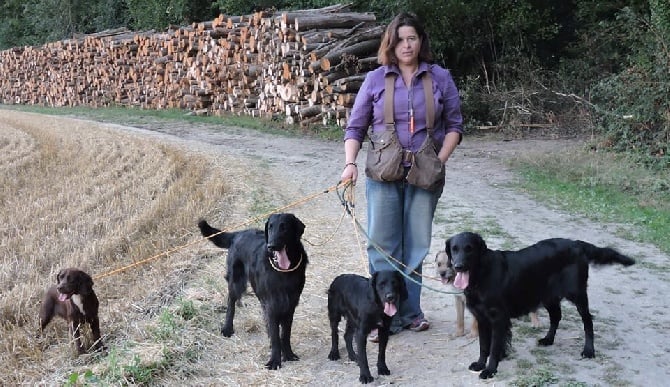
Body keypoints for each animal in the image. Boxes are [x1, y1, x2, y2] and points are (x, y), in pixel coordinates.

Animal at [196, 214, 308, 372]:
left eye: (284, 227)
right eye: (270, 227)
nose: (271, 246)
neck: (283, 271)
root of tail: (238, 233)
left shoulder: (290, 304)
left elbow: (285, 334)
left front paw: (288, 354)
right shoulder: (271, 305)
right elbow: (275, 335)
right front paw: (275, 360)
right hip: (236, 282)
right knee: (231, 303)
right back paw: (227, 328)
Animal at [446, 232, 636, 380]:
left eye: (469, 248)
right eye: (454, 249)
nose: (458, 266)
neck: (481, 275)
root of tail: (576, 243)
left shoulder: (498, 318)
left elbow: (493, 347)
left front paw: (490, 370)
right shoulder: (482, 318)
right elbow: (484, 346)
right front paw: (480, 364)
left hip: (577, 294)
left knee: (587, 320)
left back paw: (589, 350)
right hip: (549, 296)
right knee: (557, 316)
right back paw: (548, 339)